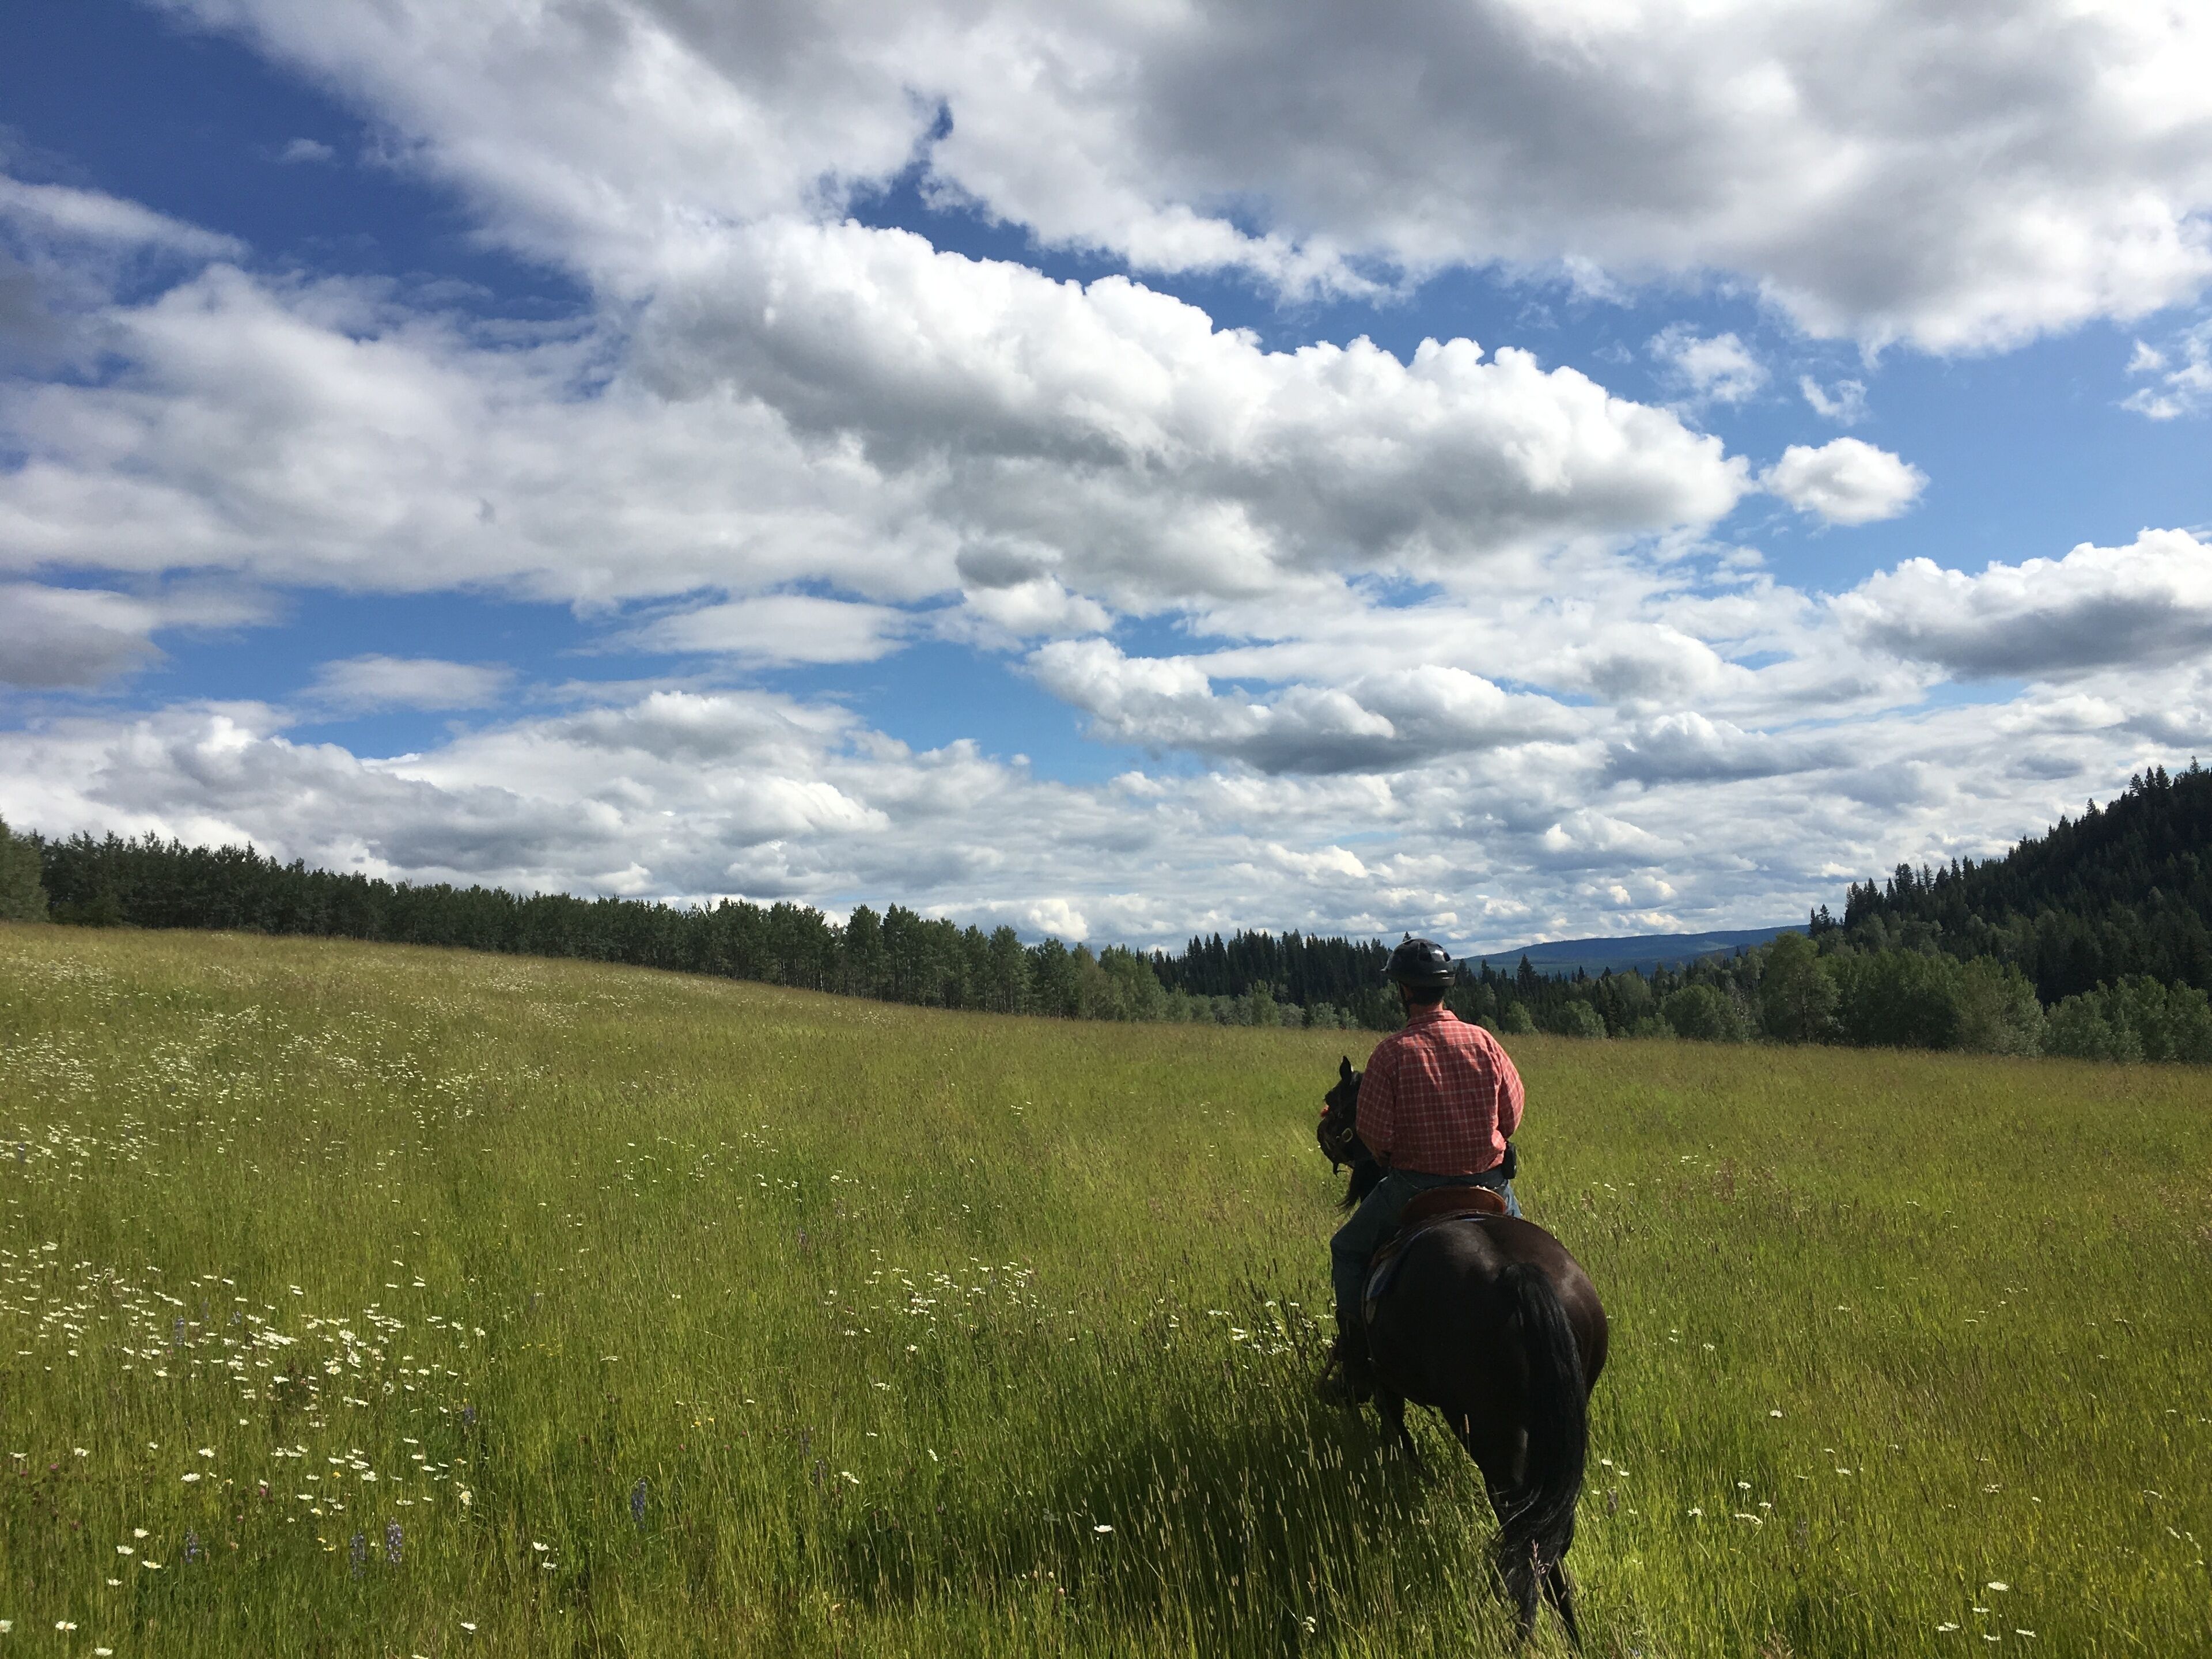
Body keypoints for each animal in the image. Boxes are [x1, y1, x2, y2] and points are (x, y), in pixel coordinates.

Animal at [1317, 1056, 1609, 1649]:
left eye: (1340, 1098)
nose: (1322, 1131)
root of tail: (1521, 1275)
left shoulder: (1386, 1378)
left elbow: (1396, 1427)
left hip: (1491, 1435)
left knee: (1525, 1539)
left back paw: (1519, 1637)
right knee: (1551, 1539)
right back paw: (1571, 1635)